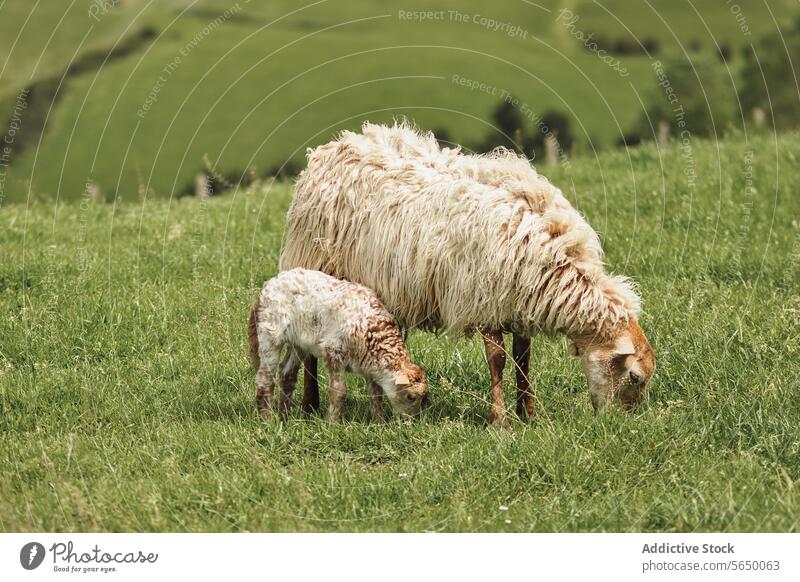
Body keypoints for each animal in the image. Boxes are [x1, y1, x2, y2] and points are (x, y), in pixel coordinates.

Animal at [247, 266, 428, 422]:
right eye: (410, 396)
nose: (411, 421)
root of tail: (267, 286)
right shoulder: (333, 350)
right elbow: (338, 391)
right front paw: (333, 423)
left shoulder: (371, 367)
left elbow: (375, 394)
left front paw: (379, 422)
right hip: (270, 333)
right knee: (264, 378)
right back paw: (268, 420)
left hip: (298, 342)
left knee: (287, 373)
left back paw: (284, 417)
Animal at [278, 122, 652, 428]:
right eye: (634, 377)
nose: (618, 425)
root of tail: (331, 147)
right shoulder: (484, 299)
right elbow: (498, 360)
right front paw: (500, 421)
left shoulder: (518, 303)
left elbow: (523, 358)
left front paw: (528, 414)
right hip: (315, 266)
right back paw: (310, 404)